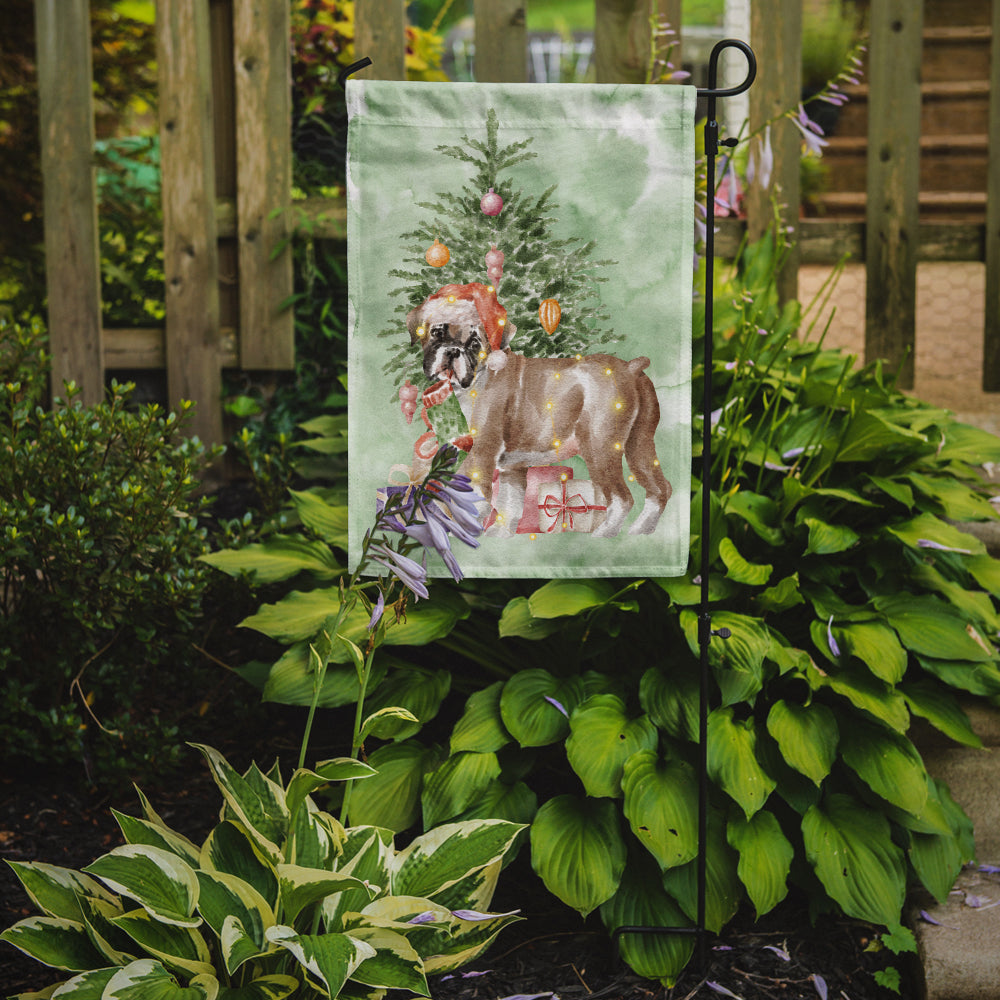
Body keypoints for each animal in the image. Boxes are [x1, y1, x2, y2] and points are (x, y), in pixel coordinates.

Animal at [406, 282, 672, 540]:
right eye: (437, 333)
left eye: (474, 344)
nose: (452, 350)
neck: (479, 377)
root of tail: (630, 368)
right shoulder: (511, 469)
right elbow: (510, 503)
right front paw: (500, 534)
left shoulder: (481, 450)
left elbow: (473, 493)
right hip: (640, 447)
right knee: (660, 488)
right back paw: (642, 530)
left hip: (599, 448)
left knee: (621, 497)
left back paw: (605, 533)